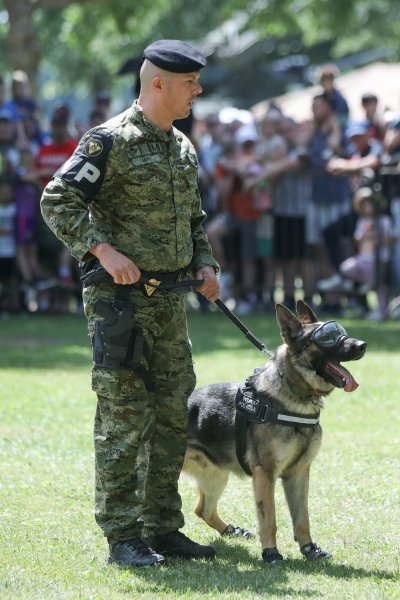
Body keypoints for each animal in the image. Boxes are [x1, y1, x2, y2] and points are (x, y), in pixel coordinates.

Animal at [183, 302, 368, 564]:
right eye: (327, 338)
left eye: (340, 331)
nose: (362, 345)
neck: (294, 396)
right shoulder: (265, 473)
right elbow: (268, 518)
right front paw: (271, 553)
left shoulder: (298, 473)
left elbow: (302, 518)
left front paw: (310, 549)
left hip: (216, 476)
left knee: (203, 509)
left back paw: (231, 530)